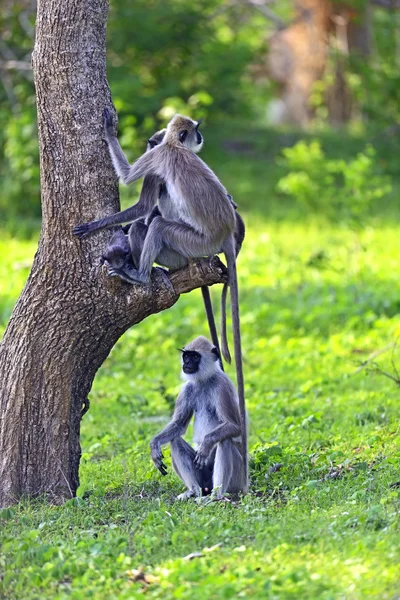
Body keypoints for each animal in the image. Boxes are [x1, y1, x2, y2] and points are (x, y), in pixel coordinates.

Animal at [149, 336, 247, 500]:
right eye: (186, 356)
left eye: (195, 357)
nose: (187, 363)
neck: (204, 380)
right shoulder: (187, 389)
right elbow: (179, 425)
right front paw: (154, 444)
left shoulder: (222, 386)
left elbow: (235, 426)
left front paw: (206, 444)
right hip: (203, 477)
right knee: (175, 440)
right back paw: (193, 491)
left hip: (238, 480)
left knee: (225, 441)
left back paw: (215, 496)